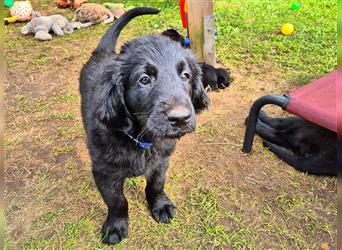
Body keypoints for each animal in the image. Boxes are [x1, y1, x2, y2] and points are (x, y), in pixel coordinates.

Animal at [79, 7, 208, 244]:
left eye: (185, 76)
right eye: (144, 79)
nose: (181, 119)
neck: (142, 140)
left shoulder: (161, 161)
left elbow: (156, 185)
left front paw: (160, 206)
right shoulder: (104, 172)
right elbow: (117, 201)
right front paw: (115, 227)